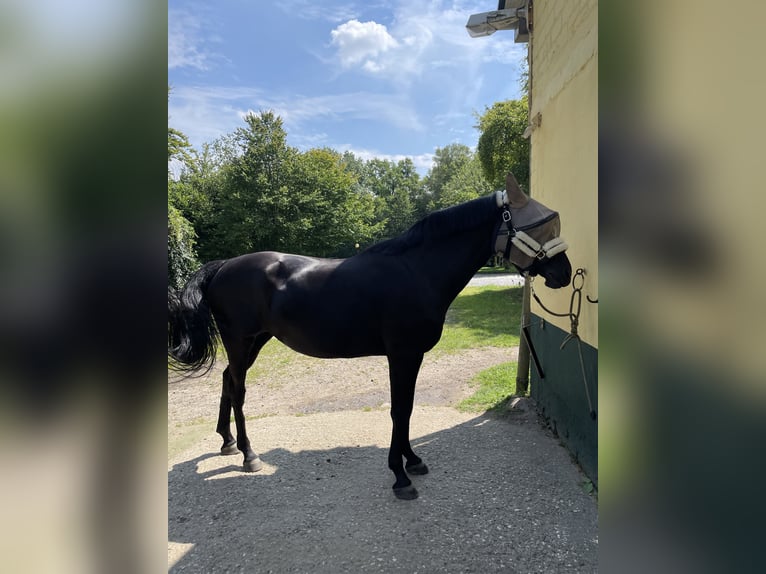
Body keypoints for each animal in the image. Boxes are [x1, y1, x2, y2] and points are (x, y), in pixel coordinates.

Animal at [171, 174, 572, 500]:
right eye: (539, 227)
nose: (564, 273)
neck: (416, 270)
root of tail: (223, 265)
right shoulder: (402, 354)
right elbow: (399, 409)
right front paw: (400, 475)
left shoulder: (412, 355)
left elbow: (407, 407)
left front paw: (412, 460)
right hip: (240, 340)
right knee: (238, 390)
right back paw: (249, 455)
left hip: (256, 340)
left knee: (227, 380)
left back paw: (228, 442)